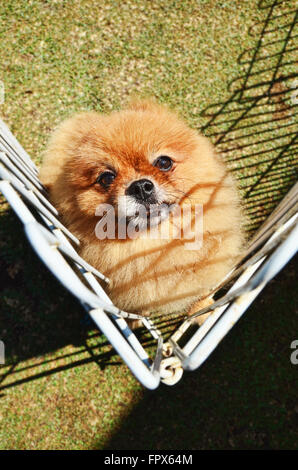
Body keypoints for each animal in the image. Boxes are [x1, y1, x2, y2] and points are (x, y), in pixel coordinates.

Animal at [39, 100, 243, 324]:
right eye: (106, 178)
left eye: (164, 162)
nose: (140, 187)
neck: (156, 244)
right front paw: (134, 320)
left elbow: (199, 292)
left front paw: (203, 312)